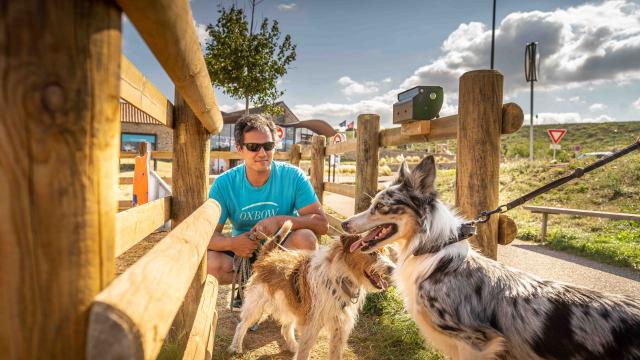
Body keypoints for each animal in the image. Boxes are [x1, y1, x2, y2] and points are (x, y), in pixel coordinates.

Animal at [225, 222, 396, 360]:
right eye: (371, 252)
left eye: (385, 252)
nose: (393, 268)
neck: (340, 278)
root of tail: (268, 256)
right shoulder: (311, 327)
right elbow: (304, 352)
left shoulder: (339, 329)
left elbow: (334, 354)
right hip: (256, 305)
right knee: (242, 325)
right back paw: (235, 347)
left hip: (290, 304)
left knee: (285, 328)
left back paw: (293, 346)